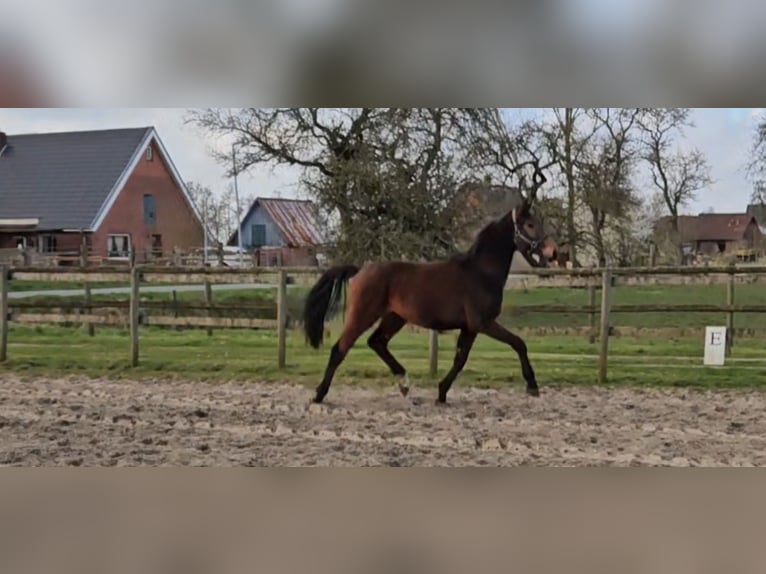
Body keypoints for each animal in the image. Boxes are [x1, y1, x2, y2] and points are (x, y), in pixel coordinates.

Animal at [304, 200, 560, 408]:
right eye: (529, 224)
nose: (553, 251)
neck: (480, 273)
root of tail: (360, 271)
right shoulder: (483, 323)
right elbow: (518, 344)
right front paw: (532, 386)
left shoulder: (469, 328)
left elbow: (460, 359)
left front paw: (441, 393)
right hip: (363, 315)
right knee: (340, 349)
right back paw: (319, 395)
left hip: (394, 317)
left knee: (376, 342)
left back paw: (404, 384)